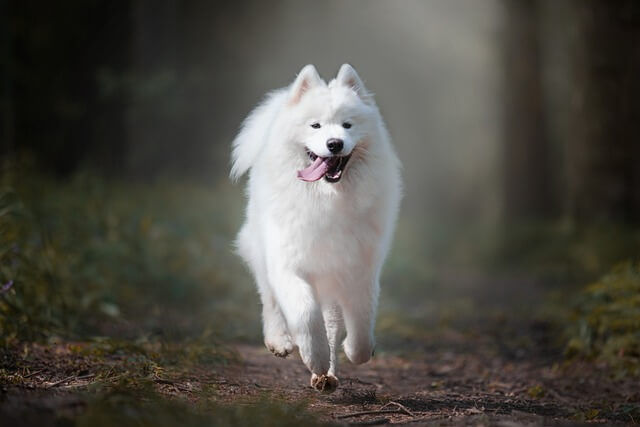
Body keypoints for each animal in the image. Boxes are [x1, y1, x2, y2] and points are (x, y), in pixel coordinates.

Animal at [230, 64, 400, 394]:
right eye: (316, 126)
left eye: (347, 125)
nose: (334, 143)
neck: (327, 200)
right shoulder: (289, 265)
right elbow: (305, 315)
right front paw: (313, 356)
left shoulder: (358, 268)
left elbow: (361, 323)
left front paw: (352, 352)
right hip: (262, 252)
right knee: (270, 299)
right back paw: (281, 341)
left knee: (332, 325)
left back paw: (328, 376)